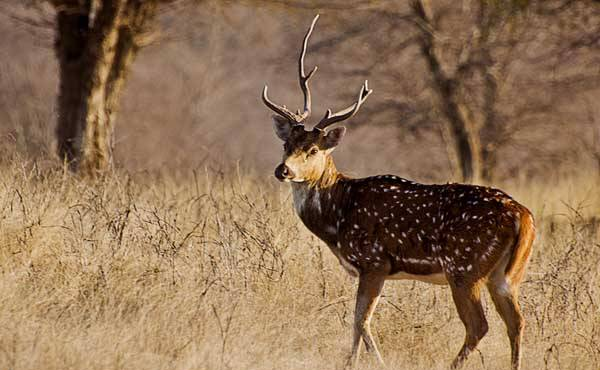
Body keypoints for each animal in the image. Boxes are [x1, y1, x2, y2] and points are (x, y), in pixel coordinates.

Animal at [262, 15, 536, 370]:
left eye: (312, 150)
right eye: (287, 144)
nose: (283, 170)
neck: (338, 215)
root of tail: (524, 217)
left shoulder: (373, 260)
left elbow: (360, 320)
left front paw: (366, 362)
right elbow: (358, 322)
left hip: (464, 268)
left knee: (479, 325)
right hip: (506, 275)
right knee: (516, 321)